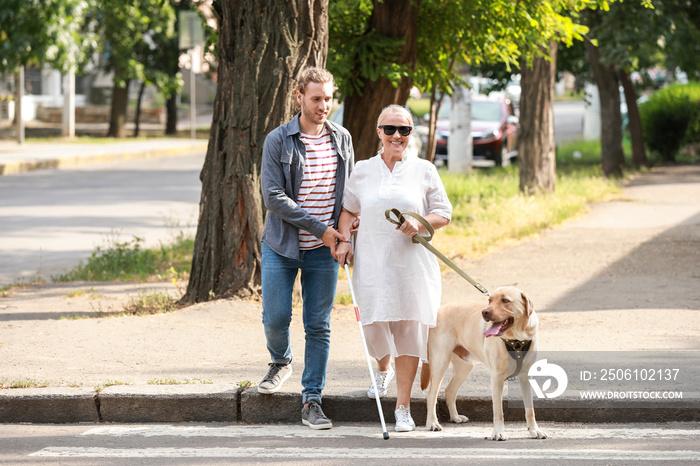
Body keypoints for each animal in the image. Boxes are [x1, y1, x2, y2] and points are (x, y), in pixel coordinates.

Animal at [422, 284, 548, 440]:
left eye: (505, 300)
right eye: (490, 300)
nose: (485, 312)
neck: (517, 340)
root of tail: (439, 310)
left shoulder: (526, 377)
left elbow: (530, 410)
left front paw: (534, 430)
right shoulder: (497, 377)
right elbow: (498, 411)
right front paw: (498, 432)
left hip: (464, 367)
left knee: (449, 390)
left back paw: (455, 417)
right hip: (440, 361)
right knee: (431, 395)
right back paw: (432, 423)